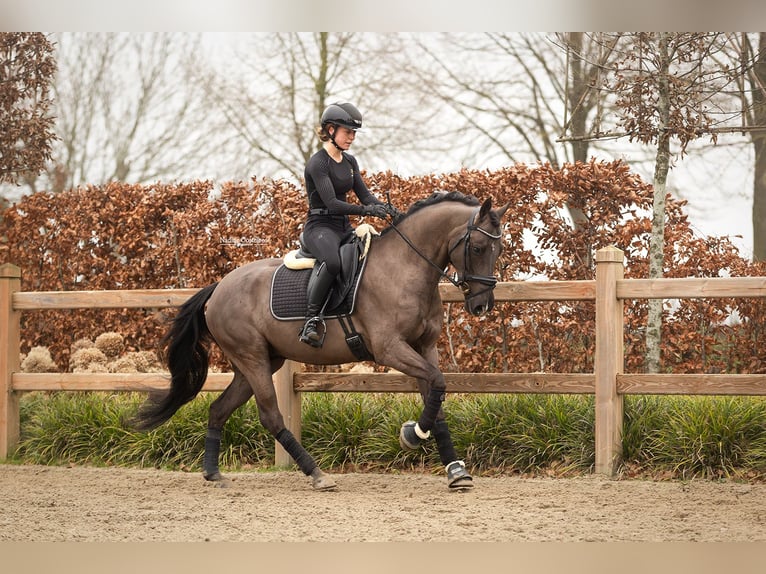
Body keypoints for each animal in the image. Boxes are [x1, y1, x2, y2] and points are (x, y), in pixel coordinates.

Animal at [133, 191, 510, 490]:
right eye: (478, 247)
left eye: (499, 249)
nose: (481, 305)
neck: (405, 268)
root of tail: (219, 287)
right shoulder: (390, 349)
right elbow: (437, 382)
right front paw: (411, 435)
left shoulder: (424, 347)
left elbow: (437, 392)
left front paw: (454, 469)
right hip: (252, 358)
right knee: (271, 416)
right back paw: (316, 473)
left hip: (257, 362)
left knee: (219, 409)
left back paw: (213, 473)